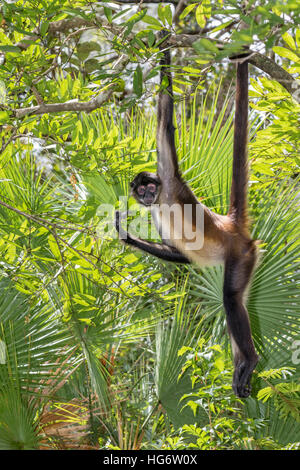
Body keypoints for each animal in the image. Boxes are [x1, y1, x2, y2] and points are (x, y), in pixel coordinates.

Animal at [115, 32, 258, 396]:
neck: (162, 199)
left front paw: (163, 46)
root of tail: (231, 225)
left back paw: (249, 360)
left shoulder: (170, 179)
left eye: (150, 186)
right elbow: (180, 254)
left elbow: (165, 123)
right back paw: (242, 366)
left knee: (231, 298)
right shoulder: (154, 212)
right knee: (239, 300)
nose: (147, 196)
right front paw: (125, 235)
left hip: (242, 254)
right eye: (140, 191)